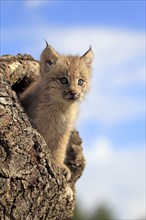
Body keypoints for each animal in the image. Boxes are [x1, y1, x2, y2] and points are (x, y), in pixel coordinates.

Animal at [20, 42, 93, 180]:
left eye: (80, 82)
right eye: (63, 80)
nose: (73, 93)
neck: (60, 108)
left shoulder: (63, 131)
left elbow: (60, 148)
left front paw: (60, 164)